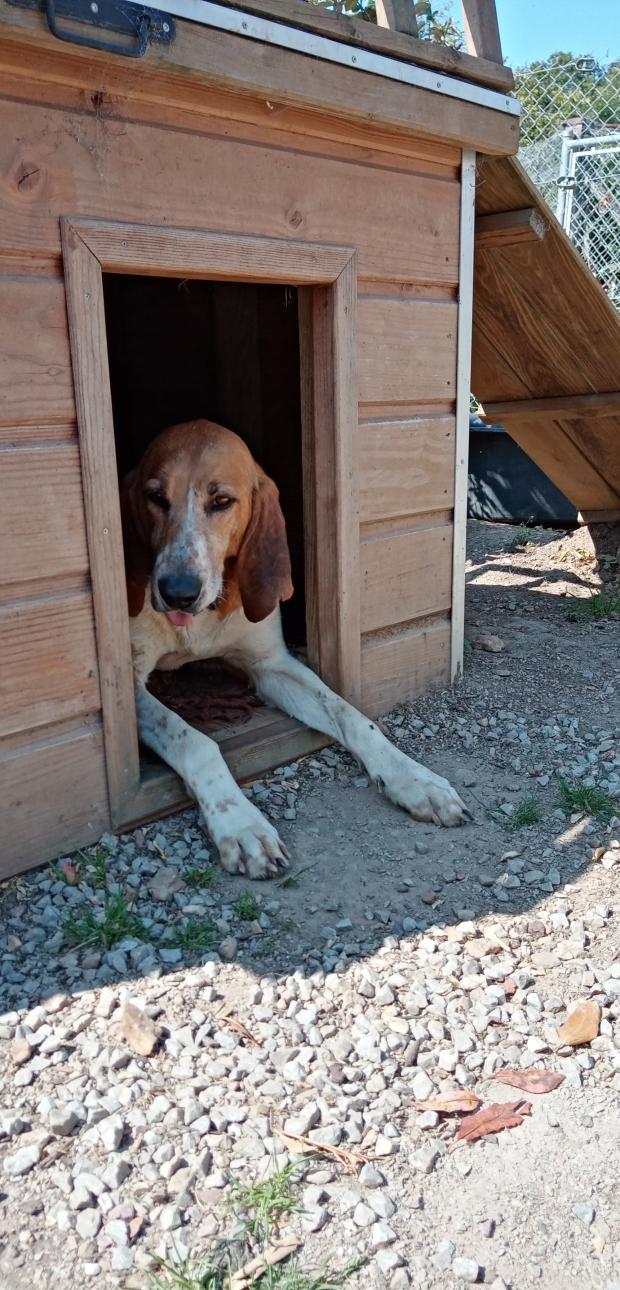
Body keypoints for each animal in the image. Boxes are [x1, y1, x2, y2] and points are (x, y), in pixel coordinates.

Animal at [121, 420, 469, 877]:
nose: (178, 592)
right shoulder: (131, 685)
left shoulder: (271, 665)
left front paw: (413, 778)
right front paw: (241, 823)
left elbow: (352, 715)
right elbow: (193, 741)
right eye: (156, 497)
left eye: (221, 501)